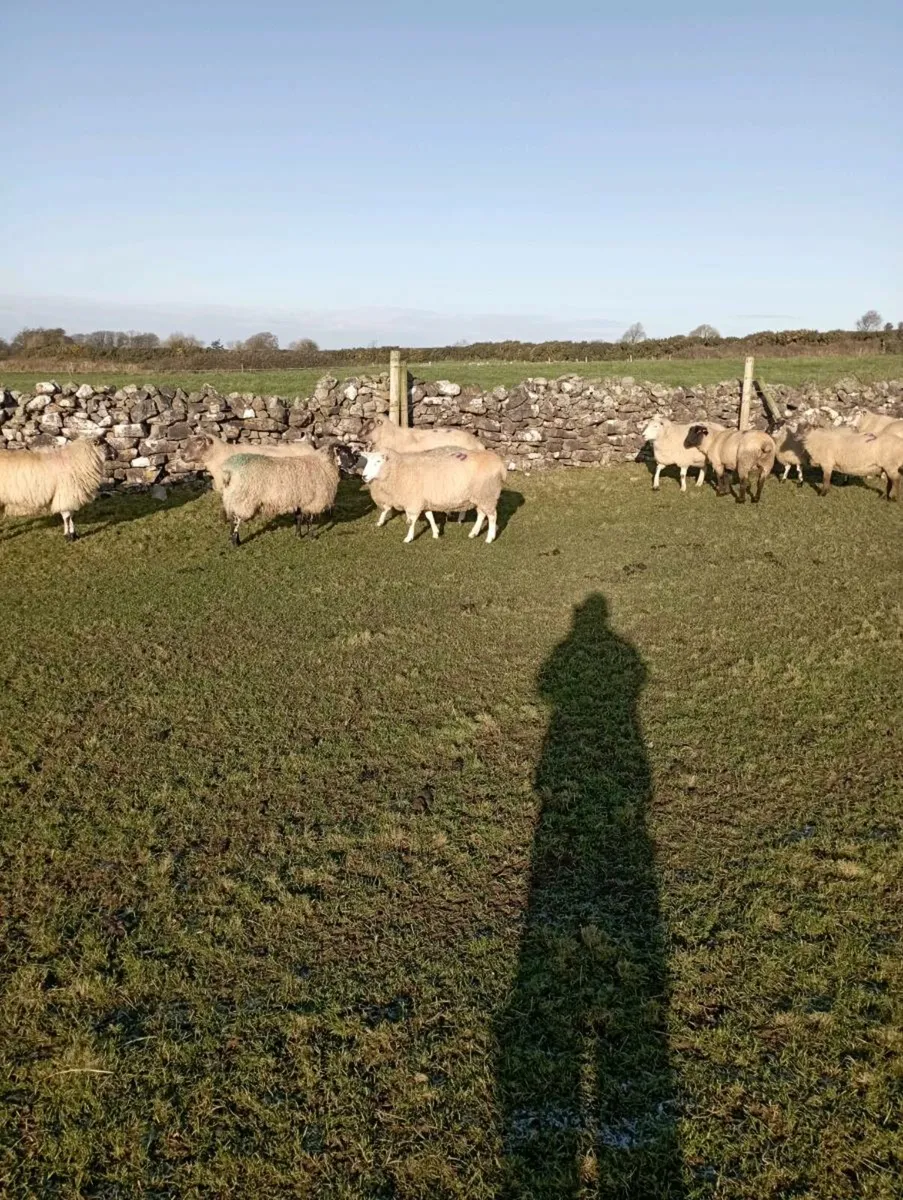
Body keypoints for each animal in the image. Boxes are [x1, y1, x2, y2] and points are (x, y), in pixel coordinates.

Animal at [220, 443, 357, 545]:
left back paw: (234, 540)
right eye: (344, 453)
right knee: (236, 521)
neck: (324, 465)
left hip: (232, 498)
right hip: (242, 499)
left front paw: (298, 535)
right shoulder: (313, 501)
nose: (354, 463)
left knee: (232, 519)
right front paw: (312, 536)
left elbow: (299, 518)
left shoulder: (300, 499)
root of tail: (229, 470)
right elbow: (310, 520)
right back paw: (235, 543)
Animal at [359, 446, 507, 544]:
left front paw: (408, 538)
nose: (364, 476)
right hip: (480, 496)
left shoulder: (413, 501)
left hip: (487, 494)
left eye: (378, 462)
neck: (398, 469)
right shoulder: (424, 500)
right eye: (367, 461)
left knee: (492, 516)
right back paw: (474, 533)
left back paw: (490, 538)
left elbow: (411, 521)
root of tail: (501, 465)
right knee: (482, 514)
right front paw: (436, 533)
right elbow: (429, 516)